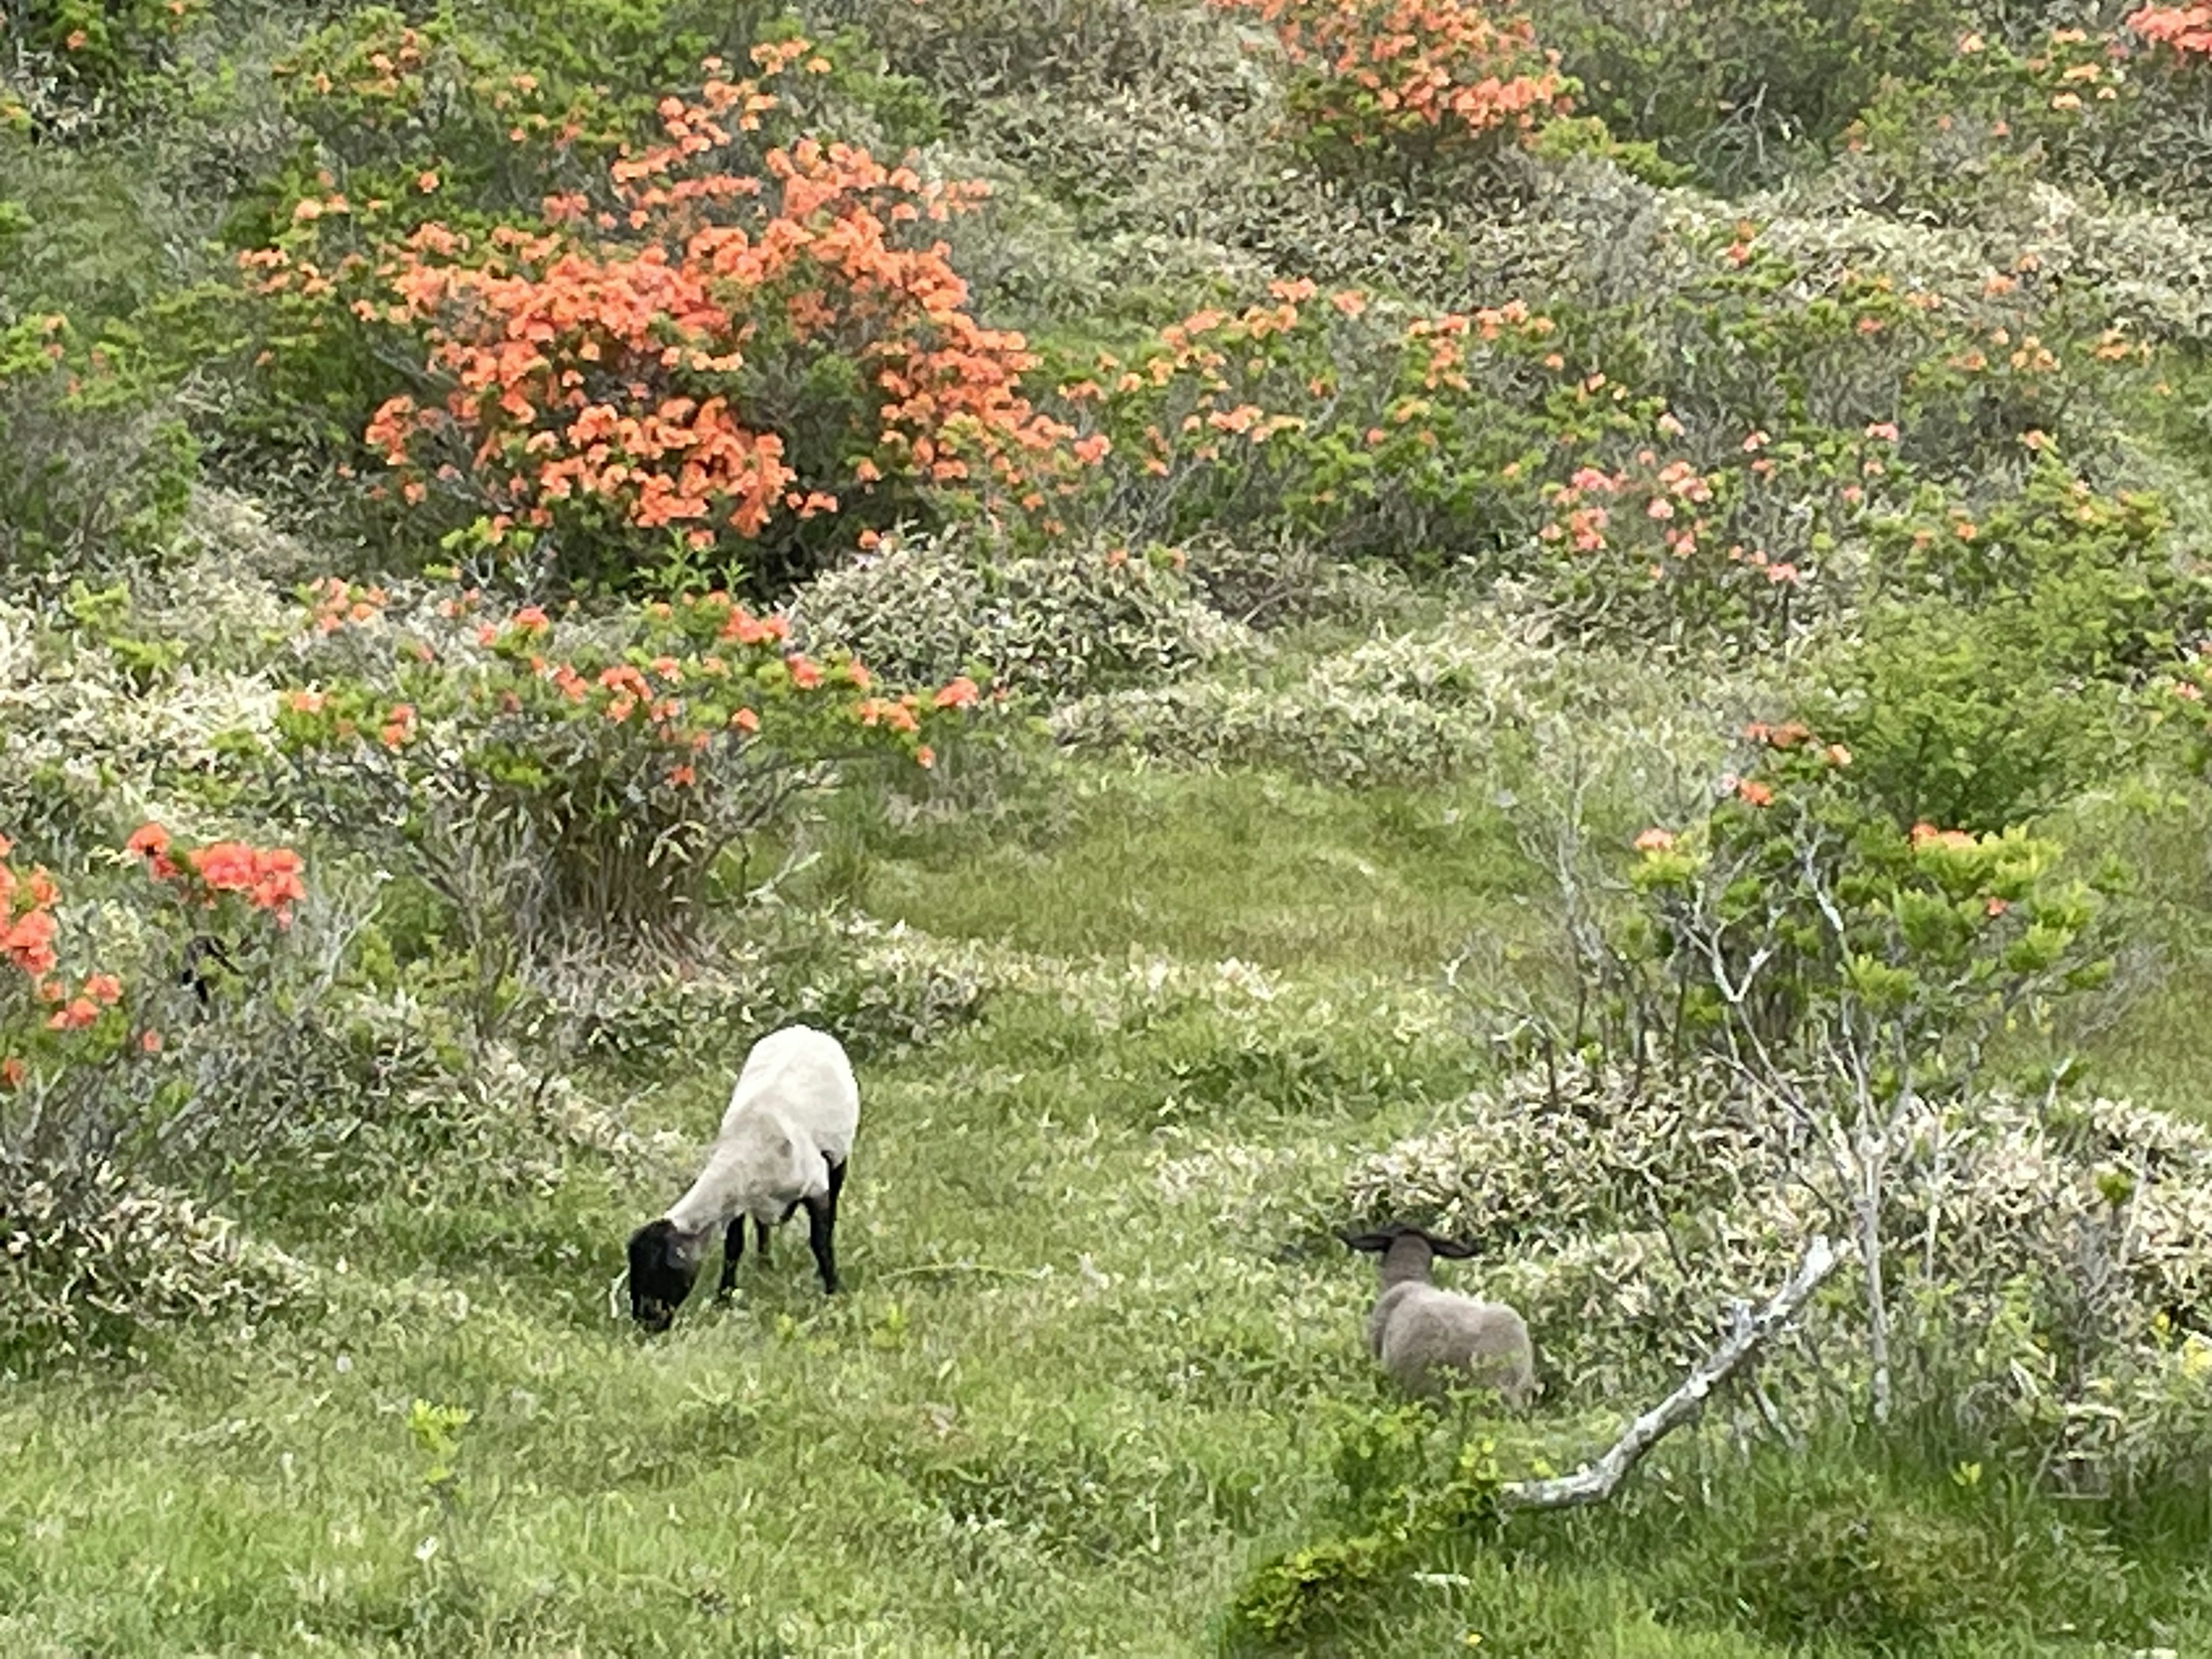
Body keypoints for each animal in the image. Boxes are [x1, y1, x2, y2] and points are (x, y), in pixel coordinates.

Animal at [632, 1026, 862, 1336]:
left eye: (660, 1272)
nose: (646, 1324)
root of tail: (805, 1029)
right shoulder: (738, 1200)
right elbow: (734, 1247)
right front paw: (723, 1299)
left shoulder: (817, 1187)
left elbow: (820, 1243)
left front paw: (832, 1294)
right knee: (763, 1225)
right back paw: (765, 1264)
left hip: (838, 1159)